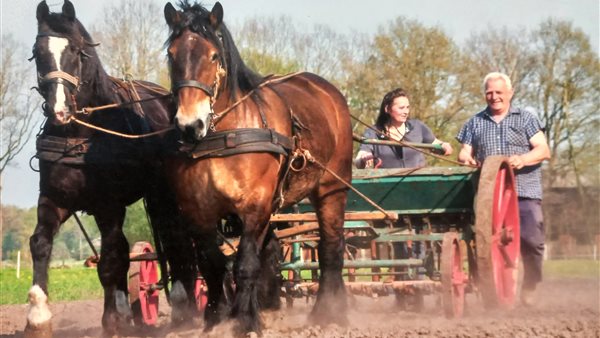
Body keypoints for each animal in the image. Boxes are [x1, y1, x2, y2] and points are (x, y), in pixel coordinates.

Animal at [28, 1, 197, 336]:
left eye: (76, 51)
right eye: (38, 52)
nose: (58, 110)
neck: (79, 134)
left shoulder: (108, 205)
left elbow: (109, 262)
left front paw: (111, 321)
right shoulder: (54, 199)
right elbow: (40, 243)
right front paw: (37, 317)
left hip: (161, 197)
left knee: (174, 240)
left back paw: (185, 306)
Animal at [162, 1, 354, 336]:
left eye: (214, 55)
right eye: (172, 55)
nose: (189, 124)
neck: (222, 136)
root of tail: (327, 92)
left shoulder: (255, 204)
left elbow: (245, 263)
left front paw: (245, 320)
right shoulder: (198, 211)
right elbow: (213, 264)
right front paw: (217, 317)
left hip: (332, 189)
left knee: (331, 246)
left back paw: (328, 313)